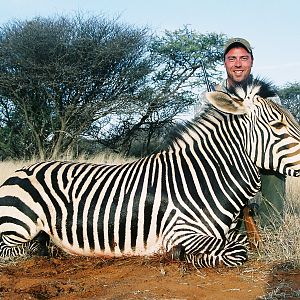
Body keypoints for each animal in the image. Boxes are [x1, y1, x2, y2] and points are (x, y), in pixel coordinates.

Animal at [0, 77, 300, 268]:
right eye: (277, 125)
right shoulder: (183, 231)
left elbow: (239, 242)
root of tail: (22, 170)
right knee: (18, 247)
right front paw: (183, 256)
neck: (204, 179)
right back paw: (49, 247)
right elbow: (237, 252)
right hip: (19, 225)